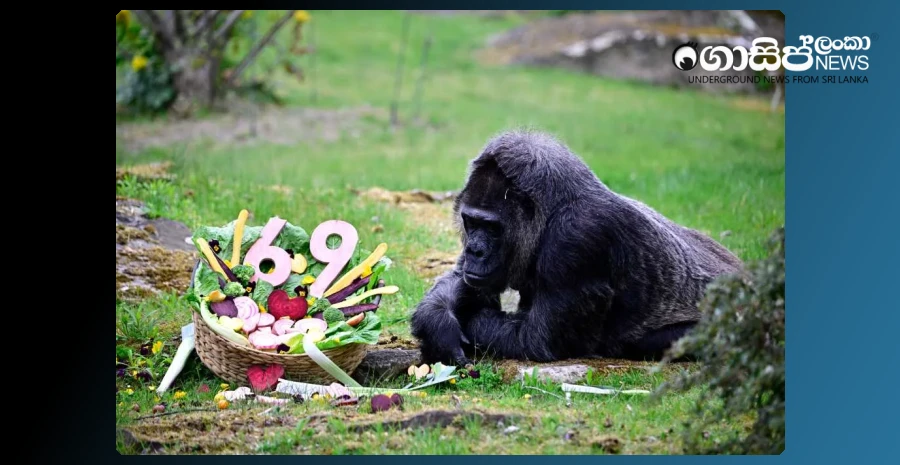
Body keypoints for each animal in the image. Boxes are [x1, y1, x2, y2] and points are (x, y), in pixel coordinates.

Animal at [410, 130, 743, 365]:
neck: (552, 209)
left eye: (492, 228)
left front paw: (470, 320)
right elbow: (461, 281)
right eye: (471, 222)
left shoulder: (577, 239)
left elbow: (535, 340)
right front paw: (439, 325)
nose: (474, 252)